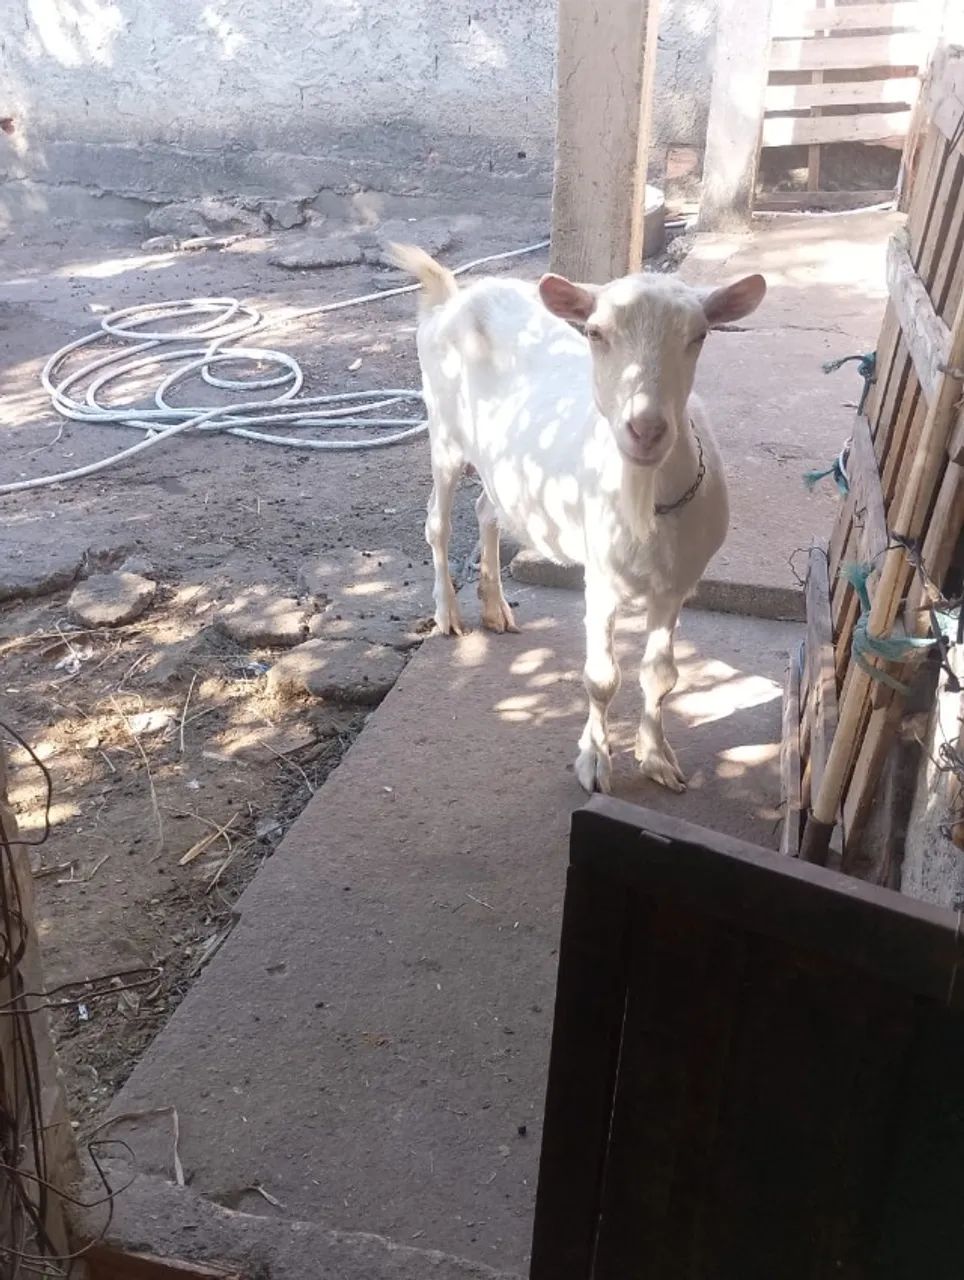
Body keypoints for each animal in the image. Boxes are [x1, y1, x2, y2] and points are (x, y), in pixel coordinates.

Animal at [390, 244, 766, 794]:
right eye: (594, 332)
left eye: (699, 335)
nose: (645, 429)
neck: (645, 499)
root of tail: (455, 297)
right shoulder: (601, 578)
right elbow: (601, 677)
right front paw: (594, 763)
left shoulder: (675, 585)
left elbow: (661, 675)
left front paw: (657, 759)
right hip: (443, 432)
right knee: (437, 522)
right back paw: (448, 615)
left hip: (506, 466)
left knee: (487, 509)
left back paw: (495, 608)